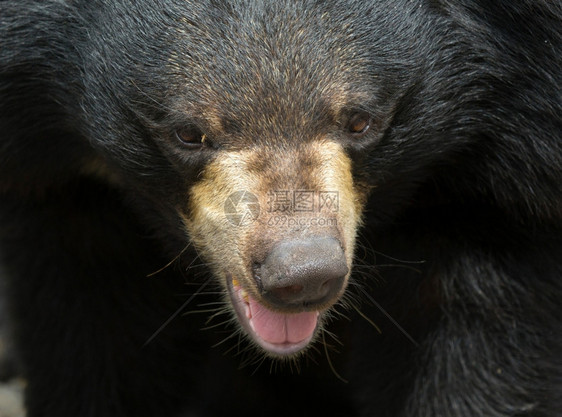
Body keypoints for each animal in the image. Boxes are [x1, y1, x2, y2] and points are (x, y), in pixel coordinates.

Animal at [1, 0, 560, 414]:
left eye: (360, 121)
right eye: (188, 133)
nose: (304, 276)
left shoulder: (497, 182)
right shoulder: (63, 188)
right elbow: (91, 338)